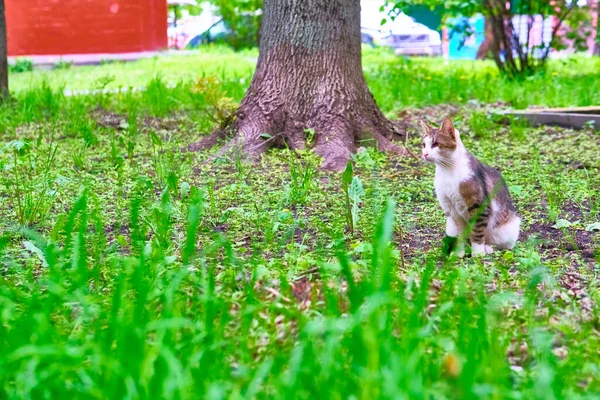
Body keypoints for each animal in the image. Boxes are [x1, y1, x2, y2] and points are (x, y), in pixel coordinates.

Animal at [422, 117, 520, 258]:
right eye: (423, 145)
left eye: (435, 144)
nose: (425, 154)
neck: (448, 171)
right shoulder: (451, 209)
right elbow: (458, 234)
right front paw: (457, 253)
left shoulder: (479, 206)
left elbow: (477, 232)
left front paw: (478, 253)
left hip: (508, 228)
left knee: (502, 245)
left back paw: (487, 248)